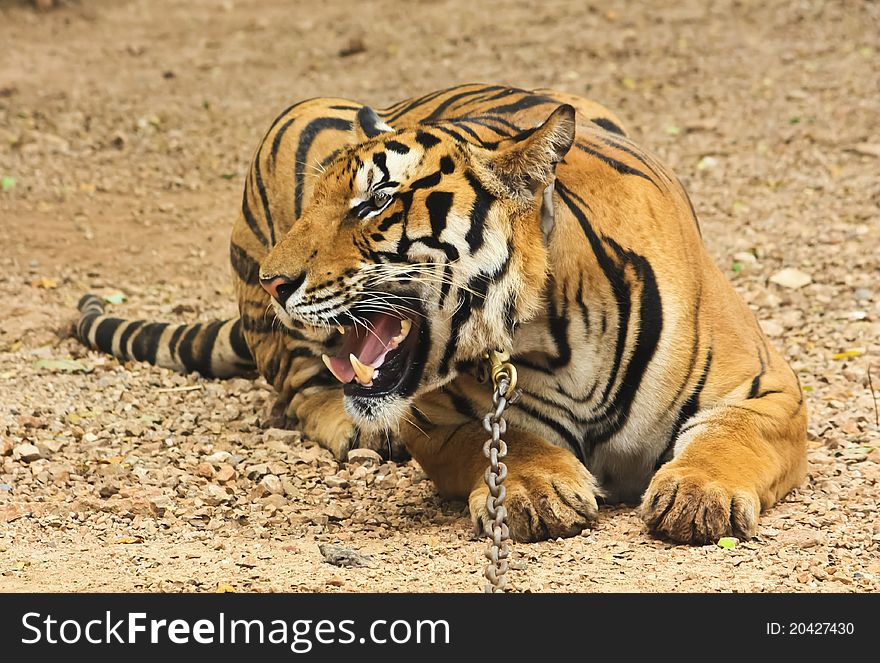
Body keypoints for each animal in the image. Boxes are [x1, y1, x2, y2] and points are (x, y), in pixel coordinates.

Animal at [79, 83, 808, 544]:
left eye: (374, 202)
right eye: (321, 201)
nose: (275, 279)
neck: (554, 336)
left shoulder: (770, 390)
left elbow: (729, 435)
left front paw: (698, 494)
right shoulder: (435, 420)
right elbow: (504, 440)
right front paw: (539, 489)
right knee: (300, 382)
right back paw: (357, 428)